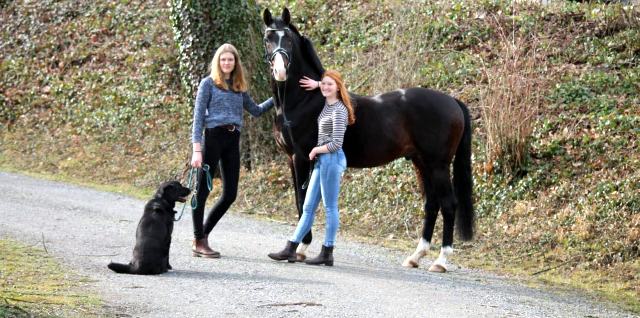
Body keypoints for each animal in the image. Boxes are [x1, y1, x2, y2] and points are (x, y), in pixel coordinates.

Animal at [262, 8, 476, 270]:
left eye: (289, 41)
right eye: (268, 38)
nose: (280, 71)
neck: (304, 100)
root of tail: (453, 101)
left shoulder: (301, 158)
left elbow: (302, 202)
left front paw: (299, 248)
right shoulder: (293, 160)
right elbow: (301, 201)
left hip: (438, 165)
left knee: (448, 204)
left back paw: (441, 261)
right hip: (421, 163)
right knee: (431, 204)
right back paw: (416, 256)